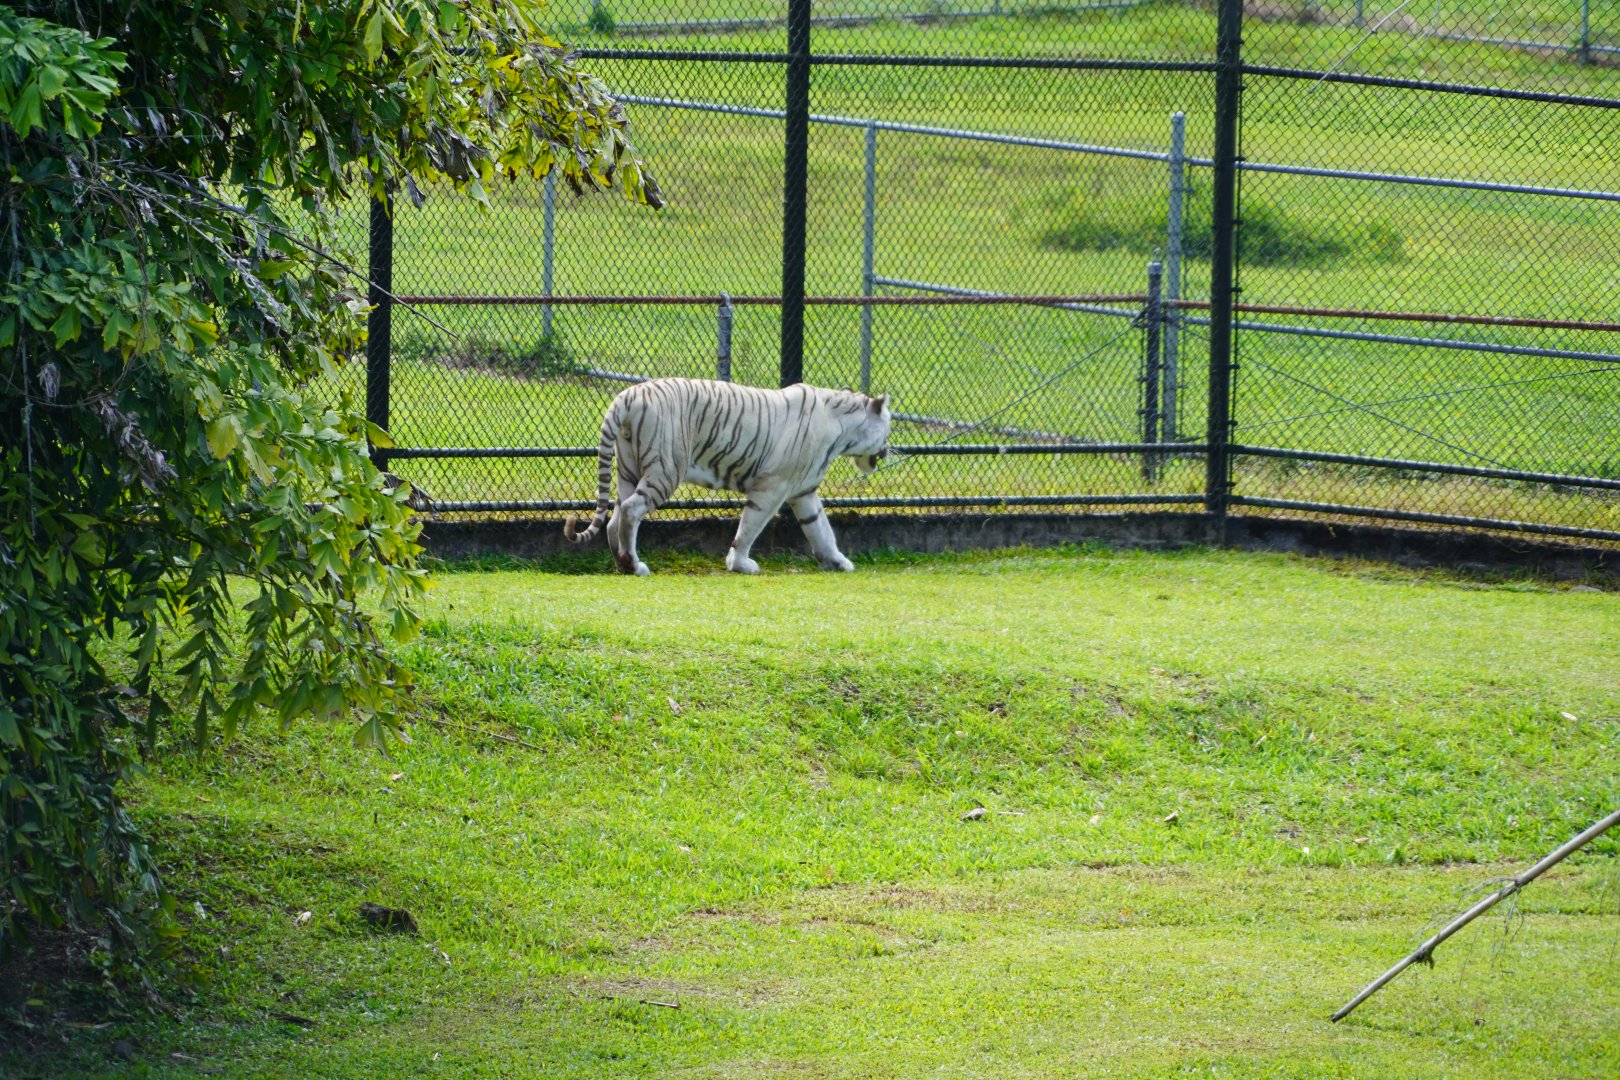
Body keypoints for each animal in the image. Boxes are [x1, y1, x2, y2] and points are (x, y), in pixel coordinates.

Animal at [564, 378, 892, 576]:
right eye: (888, 428)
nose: (889, 450)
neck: (842, 430)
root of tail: (629, 394)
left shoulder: (804, 491)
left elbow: (821, 529)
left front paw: (838, 561)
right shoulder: (772, 486)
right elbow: (750, 526)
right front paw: (740, 564)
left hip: (628, 470)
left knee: (616, 517)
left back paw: (623, 564)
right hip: (665, 469)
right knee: (632, 510)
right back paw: (634, 565)